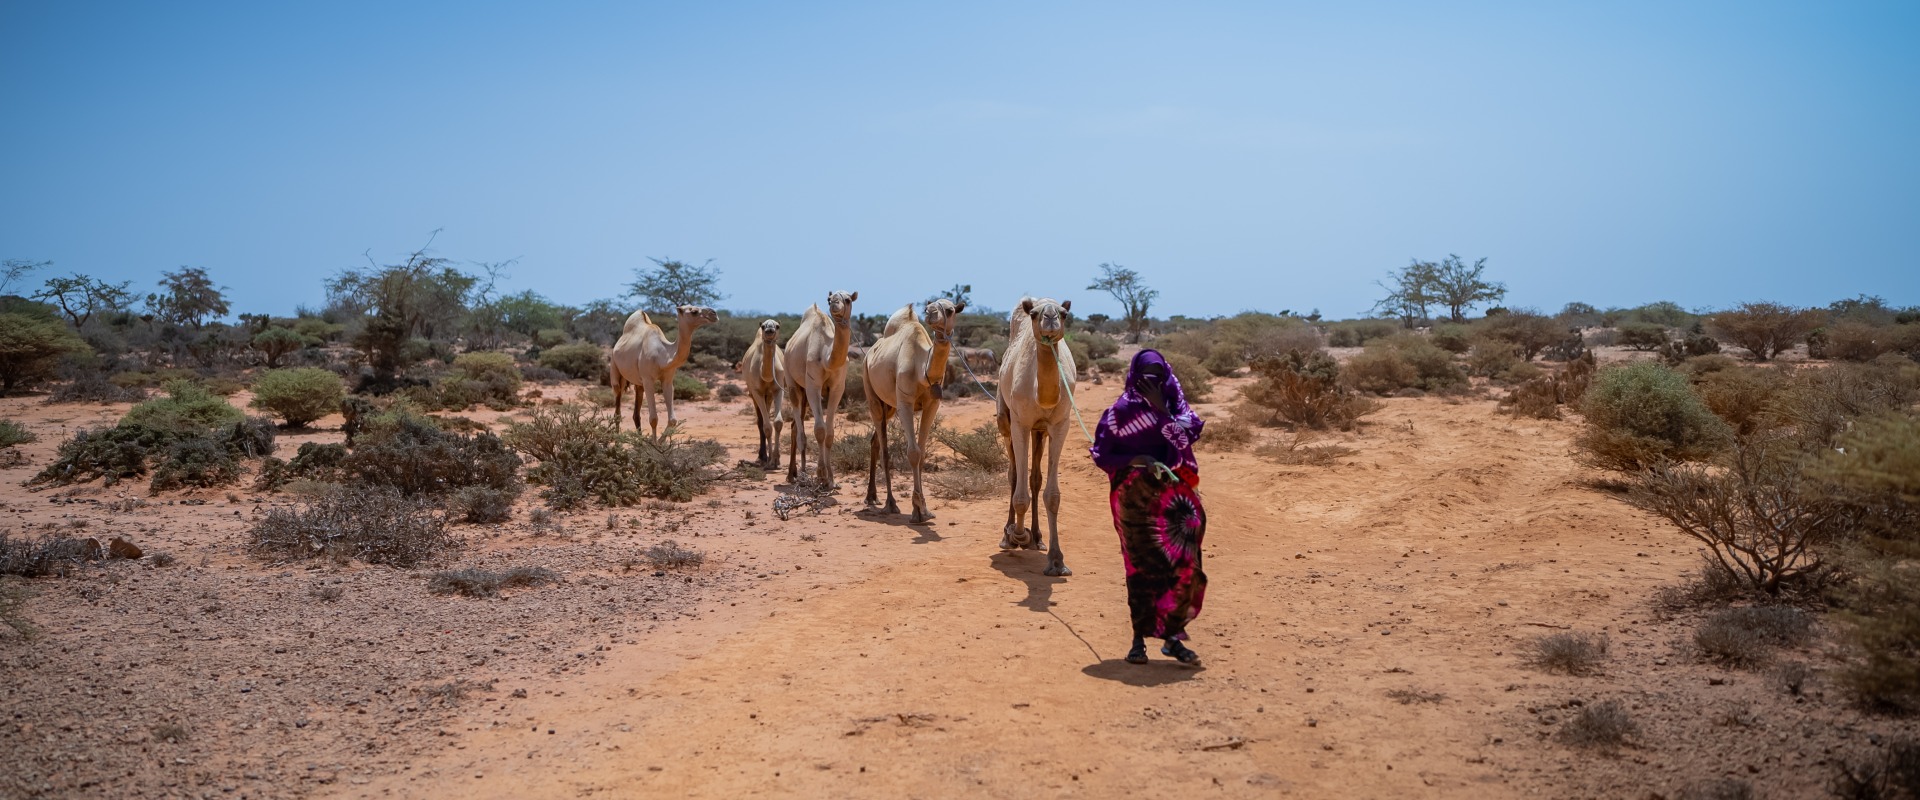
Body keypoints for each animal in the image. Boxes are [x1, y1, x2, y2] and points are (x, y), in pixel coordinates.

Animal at [610, 303, 718, 437]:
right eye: (693, 311)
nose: (714, 313)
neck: (662, 356)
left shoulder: (667, 380)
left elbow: (672, 420)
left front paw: (660, 441)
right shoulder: (648, 380)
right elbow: (653, 419)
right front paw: (654, 443)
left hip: (638, 382)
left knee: (636, 413)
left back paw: (639, 439)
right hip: (615, 370)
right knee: (617, 407)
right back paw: (616, 438)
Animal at [737, 318, 791, 468]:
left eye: (777, 326)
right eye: (763, 326)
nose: (769, 330)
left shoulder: (778, 389)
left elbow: (777, 422)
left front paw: (777, 458)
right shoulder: (757, 392)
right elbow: (766, 426)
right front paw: (770, 459)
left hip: (769, 395)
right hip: (754, 394)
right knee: (760, 421)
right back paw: (762, 457)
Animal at [787, 287, 864, 483]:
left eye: (847, 300)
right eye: (829, 299)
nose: (835, 303)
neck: (827, 358)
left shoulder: (837, 388)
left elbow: (829, 433)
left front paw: (830, 478)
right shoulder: (814, 386)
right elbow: (820, 430)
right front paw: (821, 473)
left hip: (805, 391)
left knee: (795, 425)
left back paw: (799, 471)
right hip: (792, 382)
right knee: (798, 428)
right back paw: (794, 474)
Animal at [864, 295, 967, 521]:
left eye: (950, 310)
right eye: (929, 307)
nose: (931, 312)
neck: (921, 369)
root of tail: (869, 353)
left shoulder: (933, 404)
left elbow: (922, 454)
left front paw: (924, 509)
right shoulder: (905, 402)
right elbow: (913, 452)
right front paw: (917, 510)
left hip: (889, 405)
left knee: (875, 441)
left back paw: (871, 496)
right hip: (871, 391)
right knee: (884, 449)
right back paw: (890, 503)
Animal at [998, 293, 1075, 575]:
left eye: (1064, 314)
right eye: (1034, 314)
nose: (1050, 317)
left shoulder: (1060, 424)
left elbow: (1052, 495)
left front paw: (1057, 561)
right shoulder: (1020, 423)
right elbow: (1019, 492)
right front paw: (1018, 535)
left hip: (1039, 431)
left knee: (1034, 478)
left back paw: (1038, 537)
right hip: (1005, 419)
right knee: (1014, 474)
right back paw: (1009, 535)